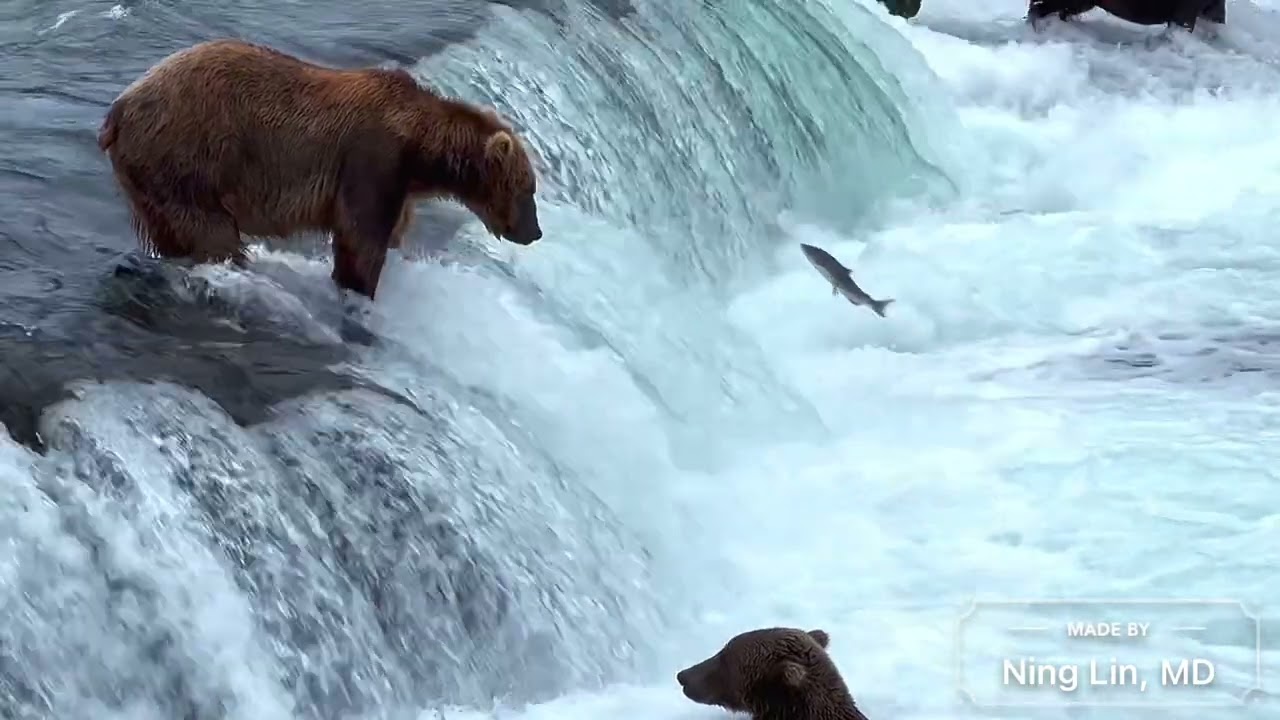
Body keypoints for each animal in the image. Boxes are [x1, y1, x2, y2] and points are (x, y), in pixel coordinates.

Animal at [97, 38, 543, 301]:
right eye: (528, 189)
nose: (534, 232)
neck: (421, 150)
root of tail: (118, 108)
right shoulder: (372, 160)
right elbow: (360, 237)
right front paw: (358, 286)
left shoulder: (398, 184)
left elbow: (389, 230)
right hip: (187, 156)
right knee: (211, 231)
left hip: (148, 177)